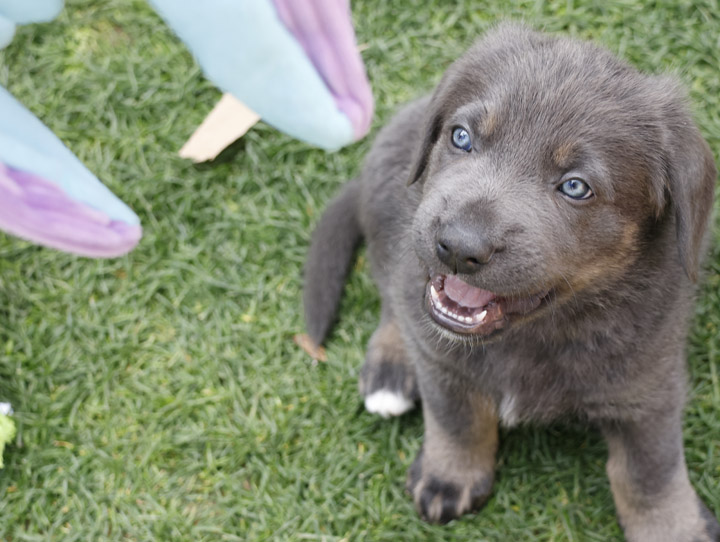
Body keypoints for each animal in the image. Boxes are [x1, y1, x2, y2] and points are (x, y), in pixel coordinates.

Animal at [300, 23, 716, 540]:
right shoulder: (441, 358)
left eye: (575, 186)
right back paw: (390, 367)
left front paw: (673, 526)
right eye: (461, 137)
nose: (457, 246)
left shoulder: (649, 384)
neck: (536, 331)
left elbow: (649, 469)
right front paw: (450, 475)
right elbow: (456, 417)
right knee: (394, 296)